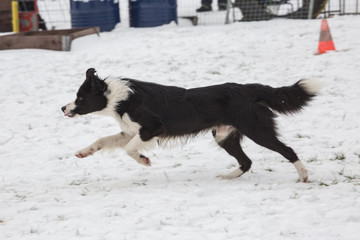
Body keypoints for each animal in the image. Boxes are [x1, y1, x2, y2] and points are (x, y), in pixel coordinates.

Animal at [62, 68, 320, 182]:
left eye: (80, 98)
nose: (63, 108)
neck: (120, 97)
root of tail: (248, 89)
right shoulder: (132, 131)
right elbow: (104, 140)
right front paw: (84, 152)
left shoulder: (153, 128)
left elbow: (129, 149)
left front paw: (144, 160)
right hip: (223, 135)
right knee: (246, 161)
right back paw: (228, 176)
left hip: (257, 130)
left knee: (287, 150)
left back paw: (304, 175)